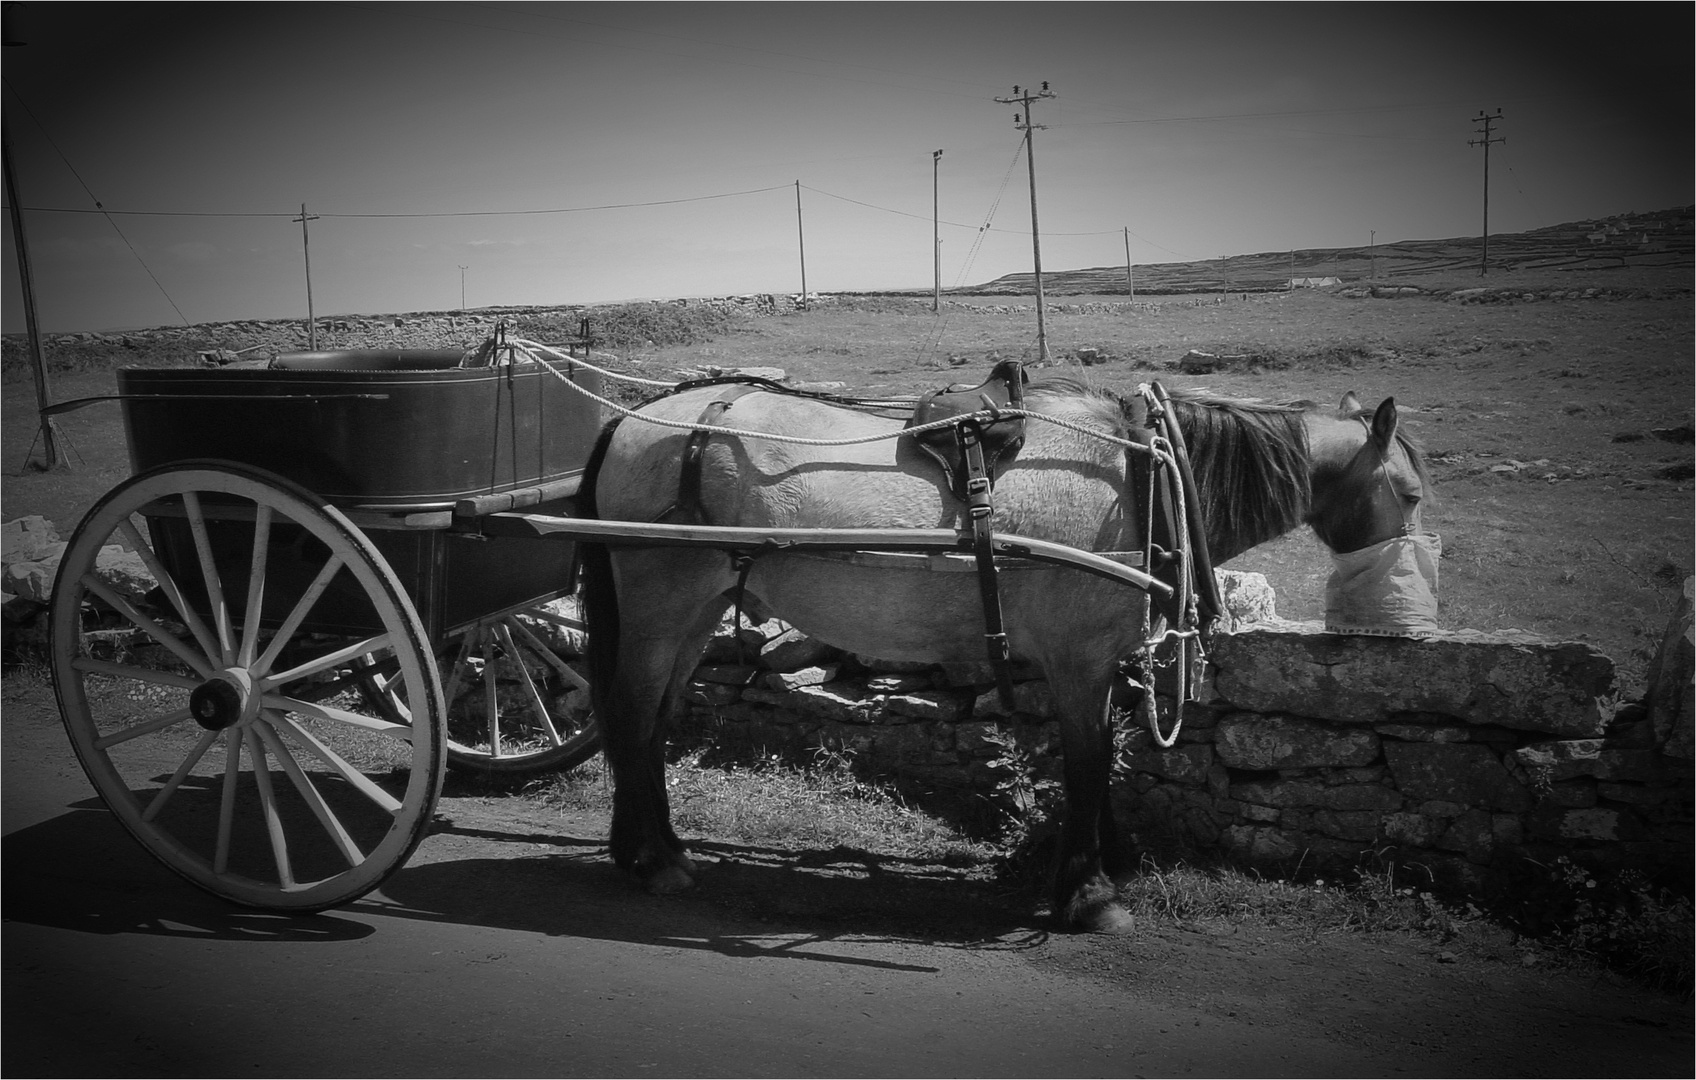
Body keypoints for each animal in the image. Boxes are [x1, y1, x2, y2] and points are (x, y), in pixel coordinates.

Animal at [576, 374, 1424, 929]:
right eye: (1412, 495)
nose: (1403, 608)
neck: (1143, 477)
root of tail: (635, 420)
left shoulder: (1096, 662)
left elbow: (1105, 755)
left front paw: (1111, 863)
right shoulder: (1080, 660)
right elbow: (1087, 762)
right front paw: (1087, 893)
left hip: (697, 610)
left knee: (653, 722)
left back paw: (655, 847)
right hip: (662, 605)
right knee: (630, 714)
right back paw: (652, 860)